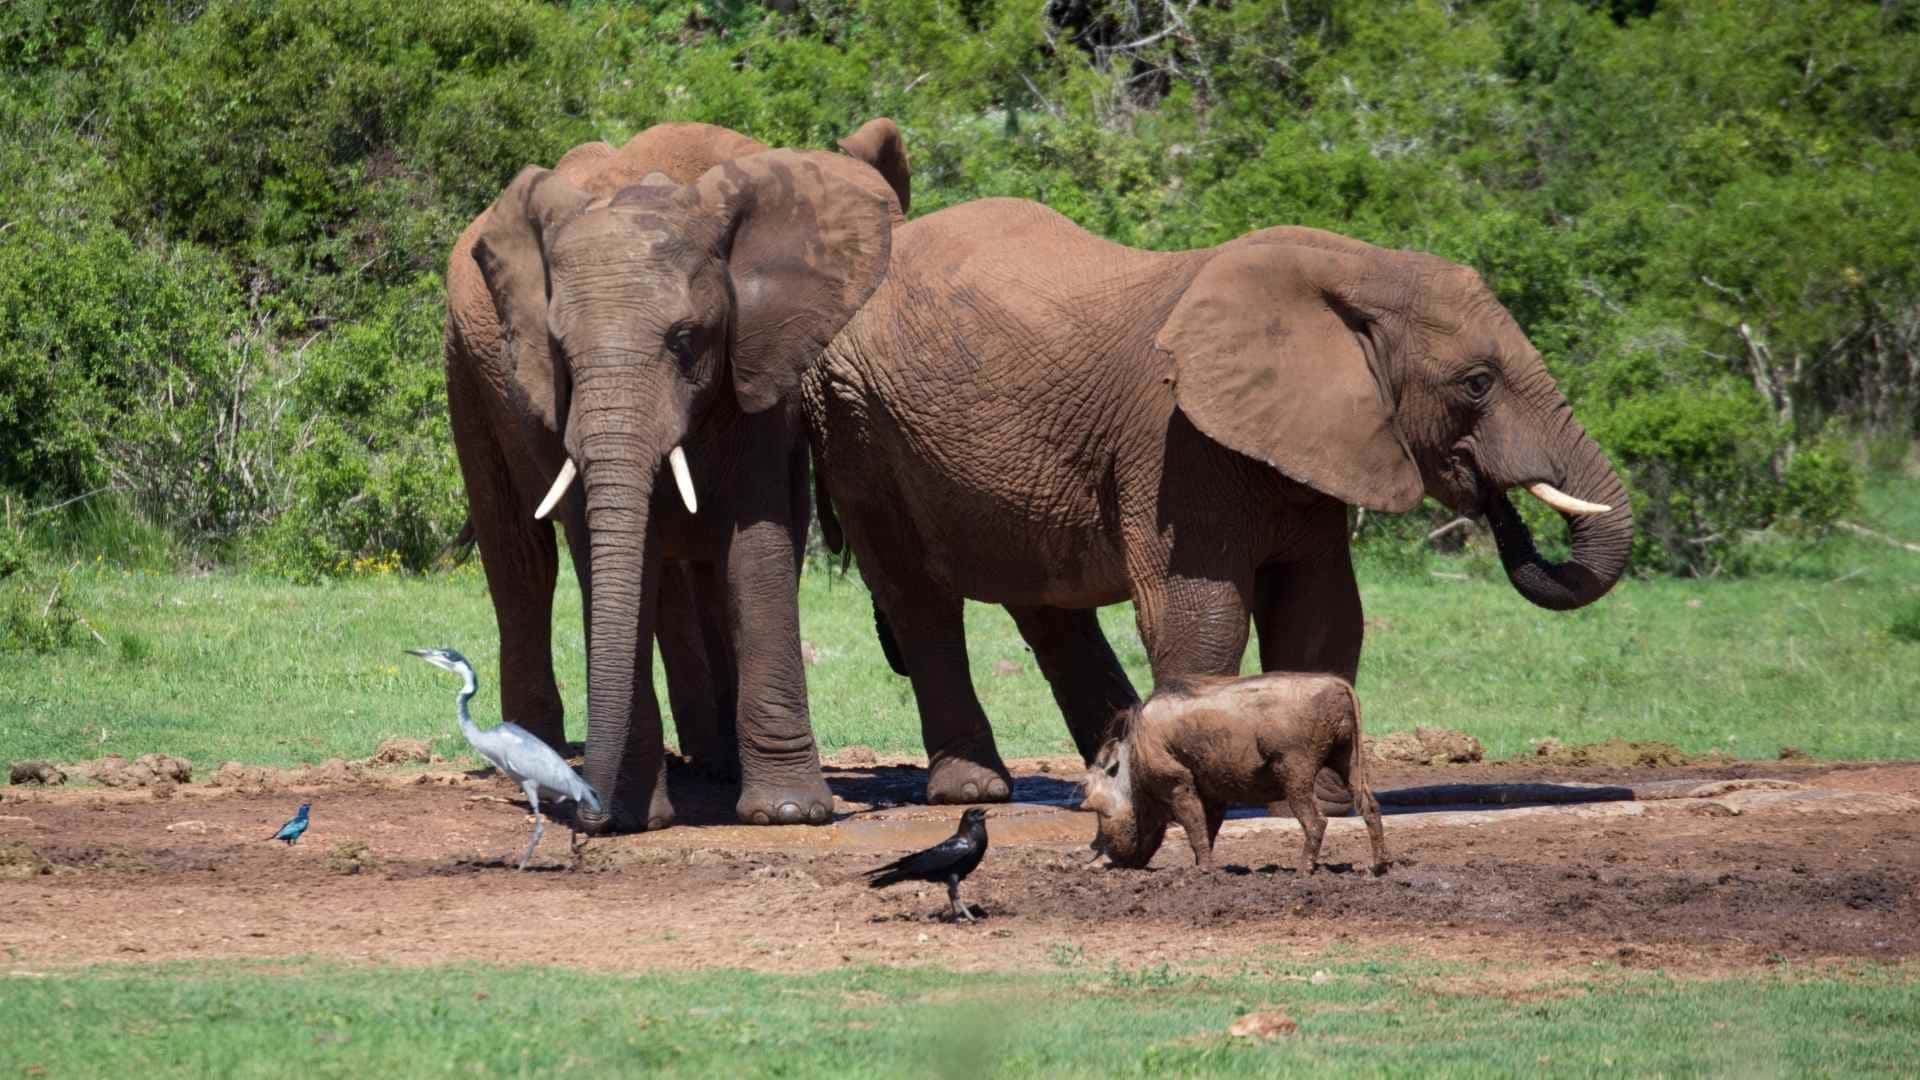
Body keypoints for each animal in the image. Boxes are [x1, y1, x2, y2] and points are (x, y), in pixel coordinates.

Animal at [444, 119, 909, 831]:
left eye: (686, 338)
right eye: (559, 349)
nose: (590, 812)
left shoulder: (760, 357)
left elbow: (757, 544)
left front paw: (788, 812)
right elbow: (604, 549)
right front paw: (634, 815)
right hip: (465, 373)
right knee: (522, 560)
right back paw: (530, 753)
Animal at [807, 198, 1633, 804]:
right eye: (1477, 383)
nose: (1497, 503)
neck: (1354, 271)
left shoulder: (1307, 447)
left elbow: (1322, 609)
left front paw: (1319, 795)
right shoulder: (1174, 441)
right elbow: (1203, 612)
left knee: (1045, 604)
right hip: (856, 425)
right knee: (919, 599)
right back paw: (975, 791)